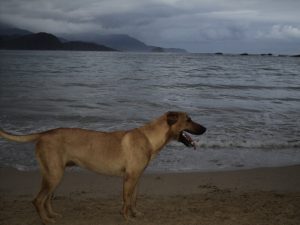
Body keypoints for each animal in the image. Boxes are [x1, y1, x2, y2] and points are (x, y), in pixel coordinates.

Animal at [0, 111, 206, 224]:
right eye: (188, 119)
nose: (205, 129)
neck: (149, 138)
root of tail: (44, 133)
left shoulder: (136, 177)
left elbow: (133, 200)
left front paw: (135, 214)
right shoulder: (129, 178)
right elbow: (126, 201)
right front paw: (126, 218)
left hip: (54, 174)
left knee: (47, 199)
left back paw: (53, 215)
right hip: (54, 175)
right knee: (37, 200)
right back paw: (45, 220)